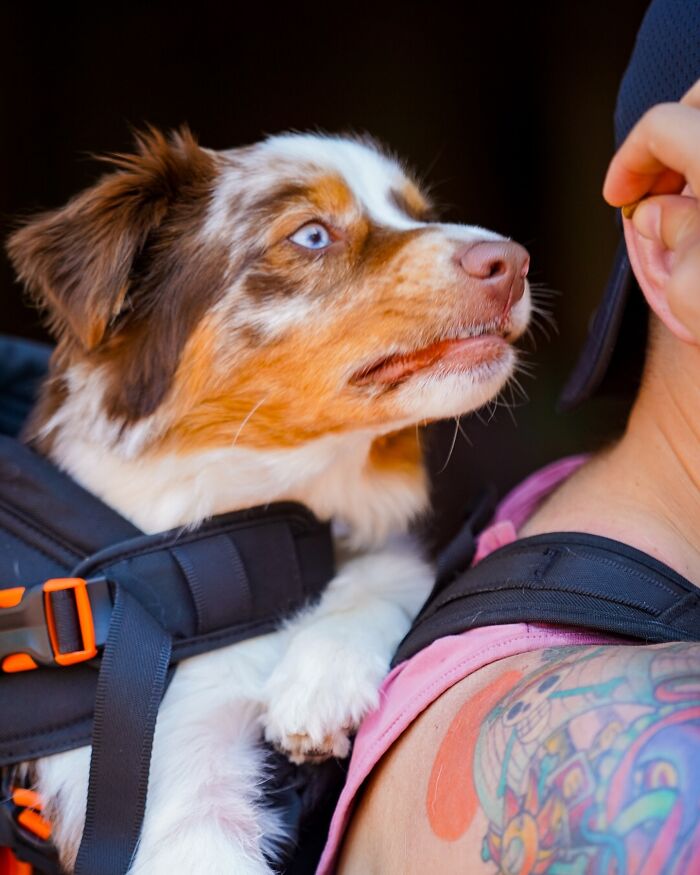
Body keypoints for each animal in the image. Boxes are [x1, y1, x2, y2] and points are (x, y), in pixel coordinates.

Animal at [5, 126, 532, 872]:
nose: (512, 260)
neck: (242, 536)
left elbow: (388, 567)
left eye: (417, 211)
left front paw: (321, 678)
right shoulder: (165, 779)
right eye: (311, 235)